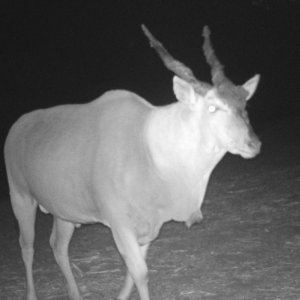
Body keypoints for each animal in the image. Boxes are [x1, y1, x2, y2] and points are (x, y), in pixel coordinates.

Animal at [4, 25, 260, 300]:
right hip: (21, 199)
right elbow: (140, 273)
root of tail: (17, 127)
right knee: (27, 246)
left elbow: (132, 274)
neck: (147, 146)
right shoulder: (120, 225)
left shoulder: (147, 229)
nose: (253, 144)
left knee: (58, 246)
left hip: (64, 212)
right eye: (212, 108)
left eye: (244, 103)